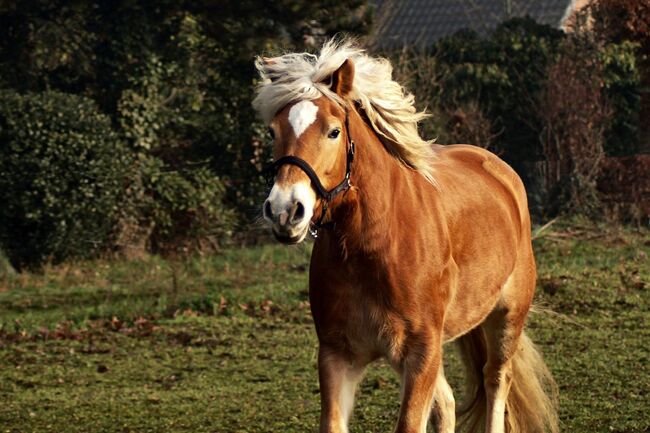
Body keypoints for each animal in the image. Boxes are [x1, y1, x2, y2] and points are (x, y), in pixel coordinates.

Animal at [251, 39, 556, 432]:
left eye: (333, 132)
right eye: (273, 132)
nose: (285, 210)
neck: (374, 246)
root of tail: (500, 171)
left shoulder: (420, 353)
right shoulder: (337, 356)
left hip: (506, 318)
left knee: (495, 381)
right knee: (448, 402)